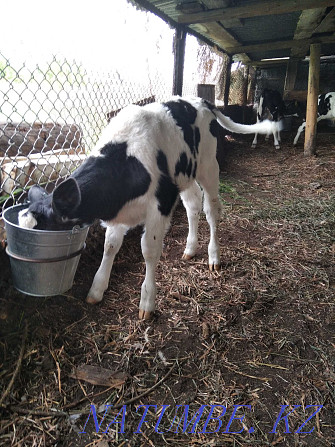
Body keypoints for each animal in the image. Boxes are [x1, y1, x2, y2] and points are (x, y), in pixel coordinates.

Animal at [19, 98, 280, 322]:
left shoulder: (160, 204)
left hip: (208, 165)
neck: (126, 160)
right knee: (193, 203)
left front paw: (147, 302)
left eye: (46, 231)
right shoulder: (119, 211)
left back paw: (213, 255)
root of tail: (200, 101)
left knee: (212, 209)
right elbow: (110, 246)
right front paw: (97, 289)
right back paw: (190, 248)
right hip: (184, 174)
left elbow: (150, 251)